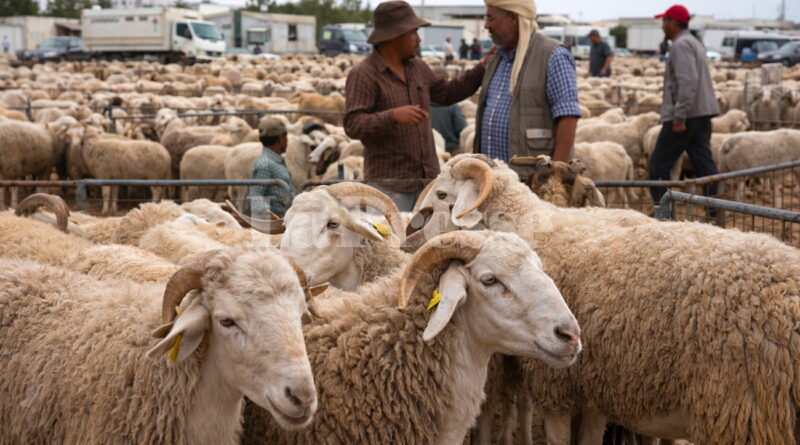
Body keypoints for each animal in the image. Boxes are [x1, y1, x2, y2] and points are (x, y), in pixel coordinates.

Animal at [411, 154, 800, 445]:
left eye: (442, 195)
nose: (411, 237)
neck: (532, 227)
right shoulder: (595, 385)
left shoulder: (556, 382)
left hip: (746, 415)